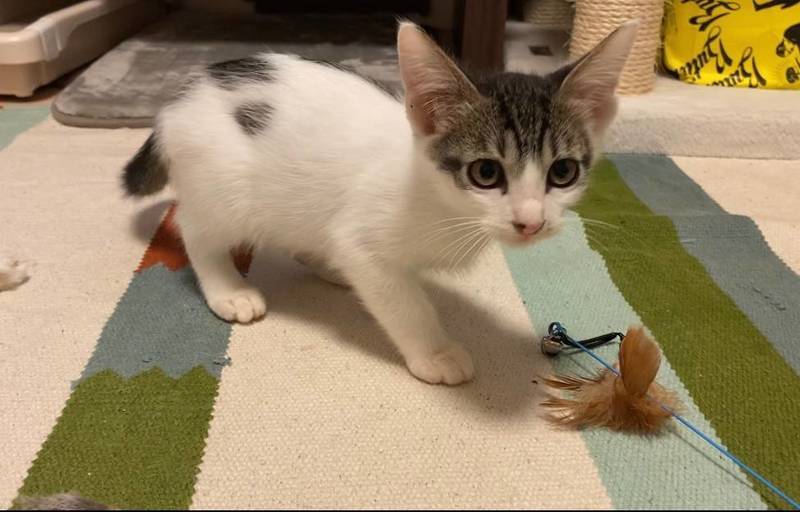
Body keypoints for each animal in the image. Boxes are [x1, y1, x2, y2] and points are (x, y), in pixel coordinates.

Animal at [122, 21, 638, 385]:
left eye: (563, 172)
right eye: (486, 173)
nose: (530, 221)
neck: (439, 201)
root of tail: (178, 103)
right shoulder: (364, 241)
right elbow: (404, 301)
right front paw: (435, 352)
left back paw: (324, 263)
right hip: (223, 186)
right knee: (196, 229)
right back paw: (229, 289)